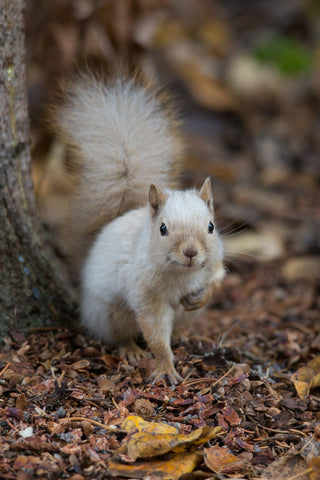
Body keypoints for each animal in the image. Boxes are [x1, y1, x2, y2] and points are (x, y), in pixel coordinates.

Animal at [52, 73, 225, 384]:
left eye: (211, 226)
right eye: (163, 229)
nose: (191, 252)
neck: (183, 274)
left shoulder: (215, 262)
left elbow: (217, 280)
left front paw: (200, 297)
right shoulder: (147, 296)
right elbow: (154, 331)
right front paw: (166, 367)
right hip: (111, 312)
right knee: (119, 334)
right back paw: (131, 349)